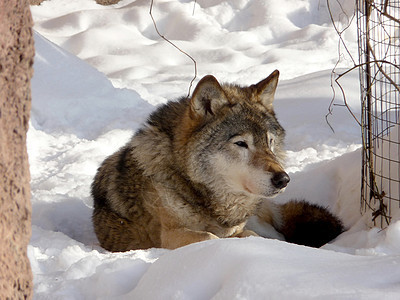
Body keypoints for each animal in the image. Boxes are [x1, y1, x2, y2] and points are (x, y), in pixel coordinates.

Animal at [91, 70, 344, 251]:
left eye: (270, 142)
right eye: (241, 143)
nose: (283, 179)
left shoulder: (240, 228)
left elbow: (248, 235)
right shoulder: (170, 236)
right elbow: (210, 236)